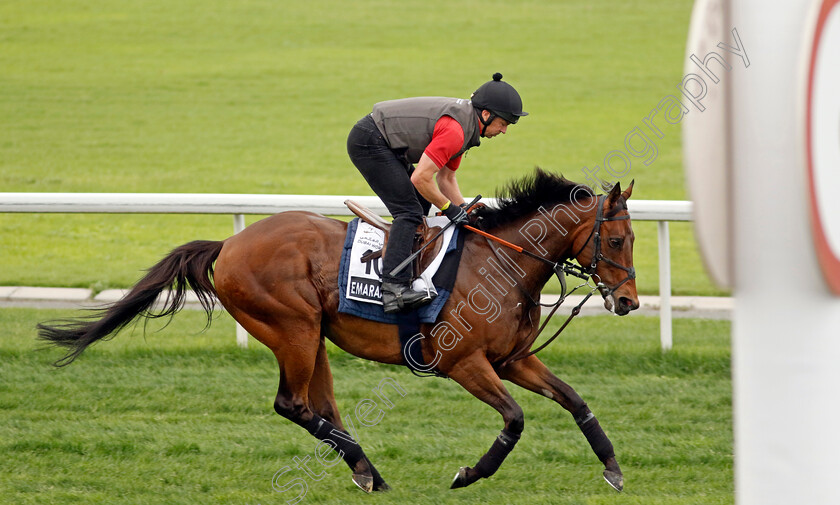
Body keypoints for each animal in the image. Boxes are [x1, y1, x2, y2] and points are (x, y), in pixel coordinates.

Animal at [37, 169, 636, 492]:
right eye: (616, 240)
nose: (628, 301)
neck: (500, 264)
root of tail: (229, 244)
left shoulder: (513, 359)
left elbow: (575, 399)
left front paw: (612, 468)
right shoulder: (463, 363)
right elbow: (514, 418)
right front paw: (470, 473)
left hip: (313, 335)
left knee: (319, 404)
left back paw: (367, 470)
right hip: (292, 328)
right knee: (292, 404)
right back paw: (366, 469)